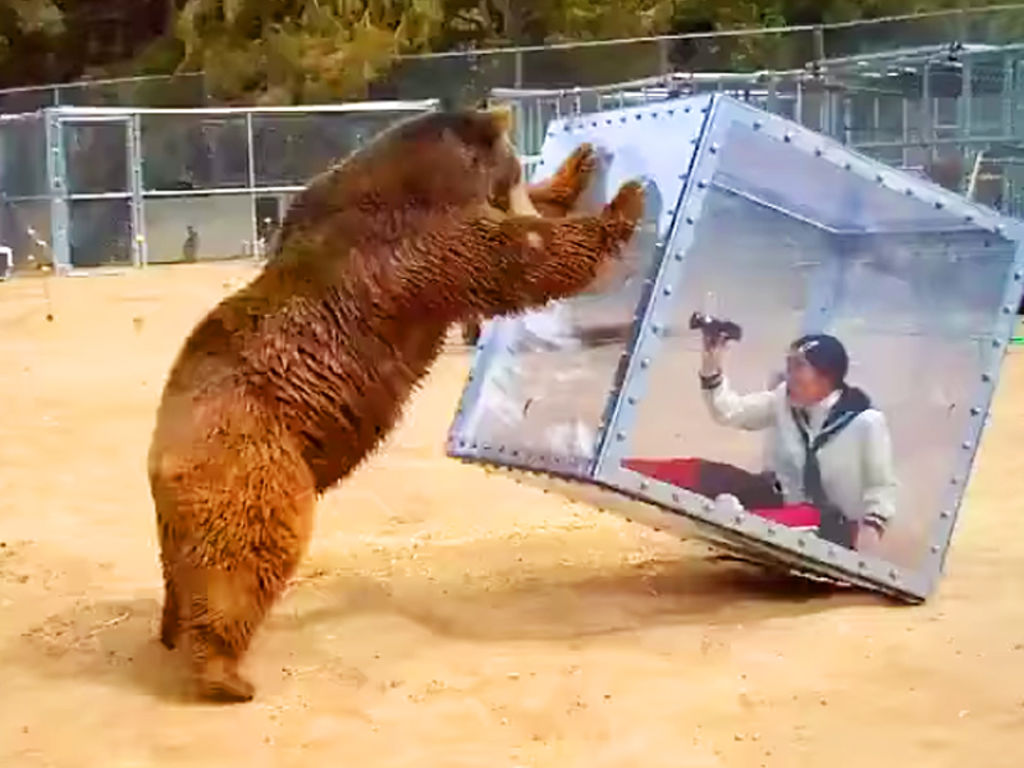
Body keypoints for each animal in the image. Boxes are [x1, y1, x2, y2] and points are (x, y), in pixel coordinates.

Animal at [148, 106, 645, 703]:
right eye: (508, 168)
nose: (520, 179)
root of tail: (160, 455)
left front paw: (578, 166)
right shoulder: (426, 247)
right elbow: (525, 255)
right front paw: (626, 200)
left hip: (188, 511)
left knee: (185, 569)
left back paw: (171, 631)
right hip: (253, 463)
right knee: (245, 556)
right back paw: (224, 674)